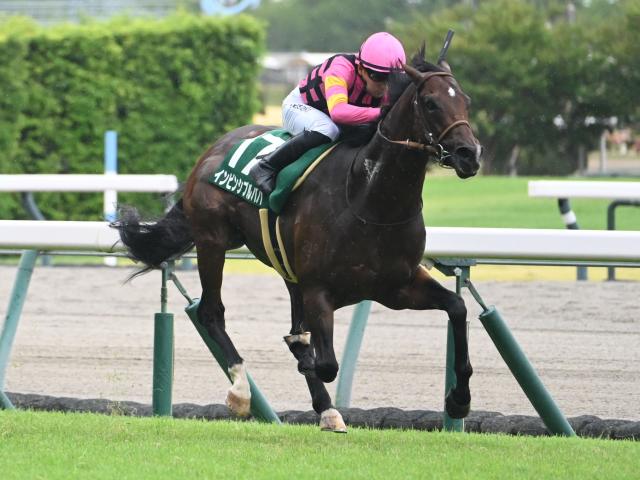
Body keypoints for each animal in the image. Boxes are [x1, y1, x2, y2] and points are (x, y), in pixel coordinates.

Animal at [113, 49, 482, 433]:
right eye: (431, 103)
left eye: (466, 101)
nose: (470, 154)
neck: (369, 199)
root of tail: (210, 152)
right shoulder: (318, 290)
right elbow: (327, 363)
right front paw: (304, 361)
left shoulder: (397, 286)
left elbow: (457, 307)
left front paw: (459, 400)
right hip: (212, 241)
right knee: (211, 312)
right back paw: (241, 391)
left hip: (286, 270)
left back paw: (327, 408)